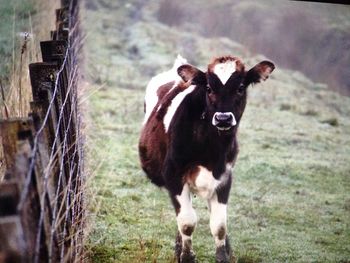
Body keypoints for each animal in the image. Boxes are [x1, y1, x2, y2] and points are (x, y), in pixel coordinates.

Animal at [138, 54, 274, 262]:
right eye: (209, 88)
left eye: (241, 87)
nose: (223, 118)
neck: (212, 149)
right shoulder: (174, 176)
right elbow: (187, 222)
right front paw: (186, 256)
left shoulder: (224, 178)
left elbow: (219, 226)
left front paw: (223, 256)